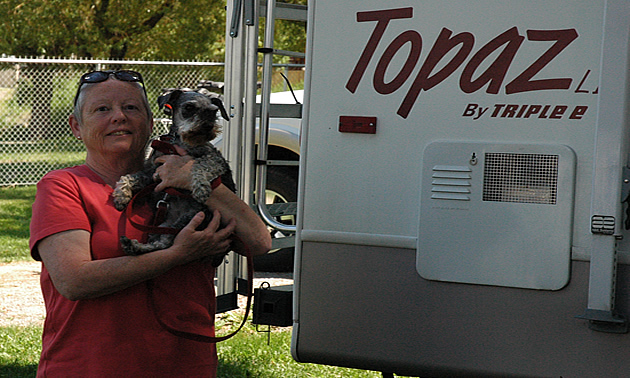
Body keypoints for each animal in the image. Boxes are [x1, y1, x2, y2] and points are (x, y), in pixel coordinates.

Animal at [111, 88, 237, 256]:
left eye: (214, 111)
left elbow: (200, 165)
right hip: (163, 225)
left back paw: (133, 246)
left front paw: (201, 188)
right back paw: (133, 246)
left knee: (165, 243)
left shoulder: (216, 159)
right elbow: (129, 177)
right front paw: (121, 195)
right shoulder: (152, 172)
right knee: (161, 244)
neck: (178, 143)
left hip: (191, 218)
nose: (208, 127)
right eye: (189, 107)